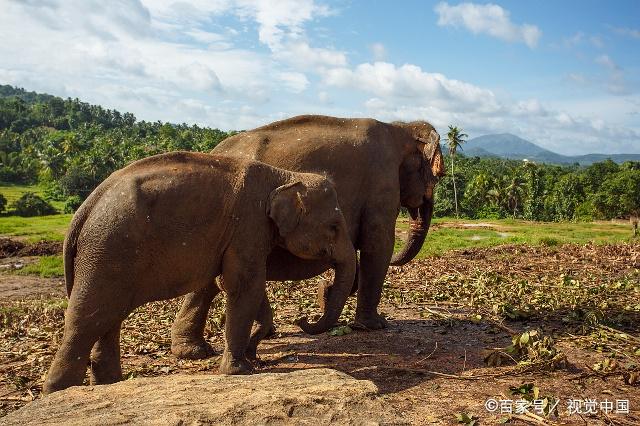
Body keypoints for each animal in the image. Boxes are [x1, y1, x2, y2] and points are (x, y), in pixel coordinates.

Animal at [42, 151, 358, 394]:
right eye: (333, 227)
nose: (301, 319)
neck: (283, 175)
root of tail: (84, 209)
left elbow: (243, 283)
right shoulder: (248, 224)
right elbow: (244, 284)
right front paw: (241, 370)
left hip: (107, 256)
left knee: (109, 317)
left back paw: (109, 384)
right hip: (107, 250)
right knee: (87, 319)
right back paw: (60, 392)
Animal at [172, 114, 448, 360]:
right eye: (438, 176)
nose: (302, 319)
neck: (399, 127)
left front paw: (326, 294)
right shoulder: (382, 184)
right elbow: (377, 246)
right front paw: (374, 325)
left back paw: (195, 350)